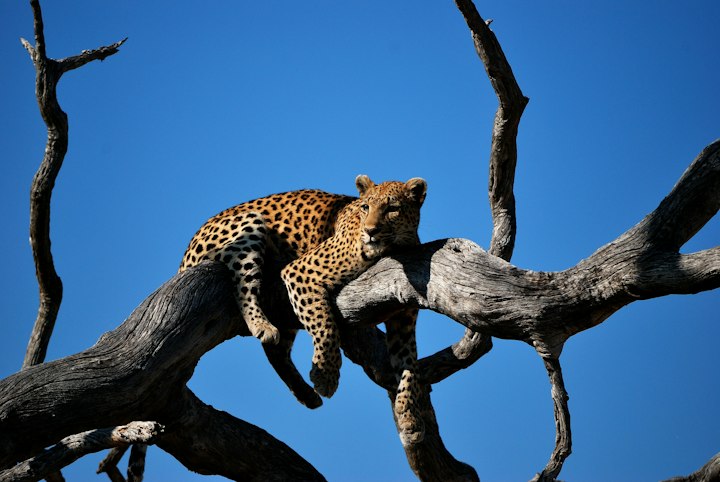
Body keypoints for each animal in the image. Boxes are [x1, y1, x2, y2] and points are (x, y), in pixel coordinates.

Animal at [179, 175, 427, 444]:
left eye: (392, 209)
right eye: (365, 207)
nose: (370, 231)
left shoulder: (403, 321)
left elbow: (409, 365)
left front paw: (410, 417)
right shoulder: (300, 272)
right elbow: (325, 325)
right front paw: (326, 377)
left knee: (276, 351)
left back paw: (306, 394)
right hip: (249, 225)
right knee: (243, 285)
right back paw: (262, 326)